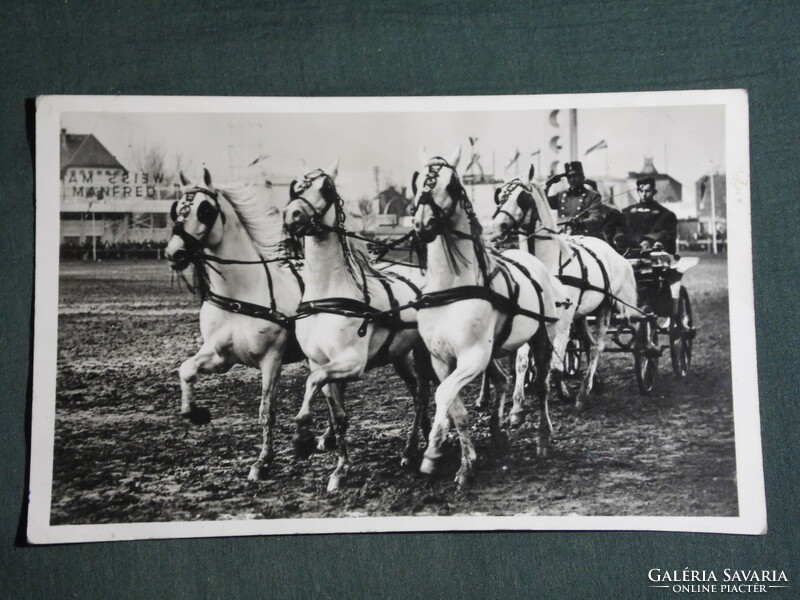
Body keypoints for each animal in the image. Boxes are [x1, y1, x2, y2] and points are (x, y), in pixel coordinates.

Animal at [166, 169, 306, 482]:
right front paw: (195, 413)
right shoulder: (221, 357)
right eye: (175, 208)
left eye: (205, 210)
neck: (242, 293)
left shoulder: (272, 359)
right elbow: (186, 369)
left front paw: (262, 462)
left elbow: (267, 410)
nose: (174, 254)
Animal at [282, 161, 432, 492]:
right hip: (400, 355)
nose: (291, 216)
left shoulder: (352, 362)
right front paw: (340, 468)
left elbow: (312, 382)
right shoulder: (320, 361)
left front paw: (302, 435)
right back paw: (419, 443)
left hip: (424, 351)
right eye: (295, 187)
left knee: (426, 392)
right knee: (418, 391)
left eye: (326, 188)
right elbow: (338, 415)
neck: (328, 296)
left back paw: (415, 448)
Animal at [410, 149, 572, 488]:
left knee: (542, 386)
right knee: (502, 380)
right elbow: (455, 406)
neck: (451, 286)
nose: (422, 224)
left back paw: (542, 438)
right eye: (419, 182)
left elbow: (444, 395)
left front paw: (434, 448)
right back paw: (500, 434)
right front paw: (462, 462)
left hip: (543, 338)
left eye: (452, 185)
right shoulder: (441, 360)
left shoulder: (473, 356)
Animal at [488, 168, 636, 412]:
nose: (497, 228)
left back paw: (583, 394)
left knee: (597, 347)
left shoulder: (564, 319)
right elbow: (523, 361)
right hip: (582, 314)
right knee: (588, 343)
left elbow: (555, 365)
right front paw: (517, 405)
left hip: (604, 309)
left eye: (522, 198)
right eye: (499, 196)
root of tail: (614, 253)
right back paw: (594, 384)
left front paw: (562, 392)